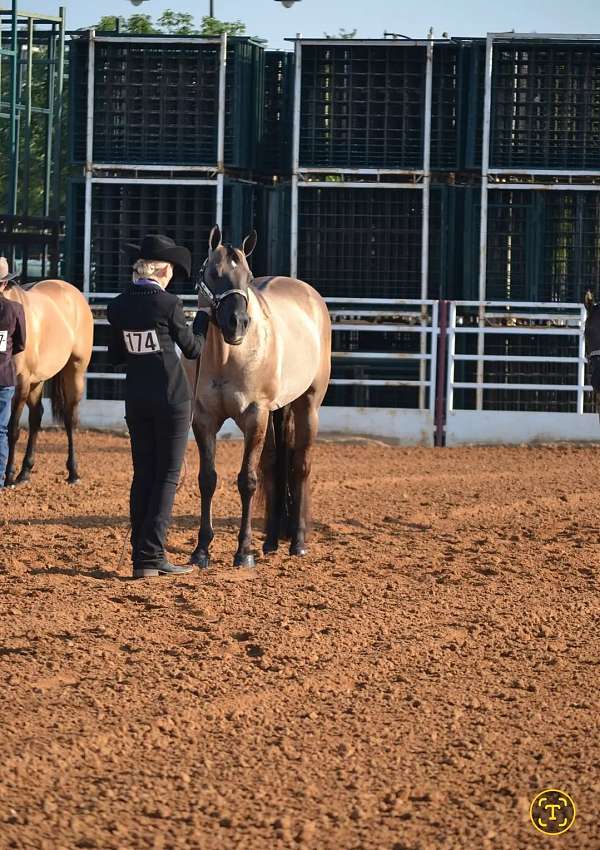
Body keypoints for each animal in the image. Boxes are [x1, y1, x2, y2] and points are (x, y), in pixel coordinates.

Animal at [2, 274, 94, 480]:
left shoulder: (20, 384)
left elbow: (12, 430)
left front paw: (9, 475)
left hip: (74, 371)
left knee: (69, 417)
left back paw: (73, 472)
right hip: (37, 381)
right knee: (36, 417)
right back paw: (25, 472)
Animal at [184, 225, 330, 568]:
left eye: (248, 277)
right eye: (213, 273)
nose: (238, 323)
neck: (227, 356)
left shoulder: (254, 417)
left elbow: (247, 481)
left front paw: (244, 551)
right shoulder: (204, 419)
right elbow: (207, 479)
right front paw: (201, 550)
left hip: (308, 406)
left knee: (300, 466)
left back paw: (298, 542)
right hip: (278, 411)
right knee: (275, 465)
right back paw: (272, 541)